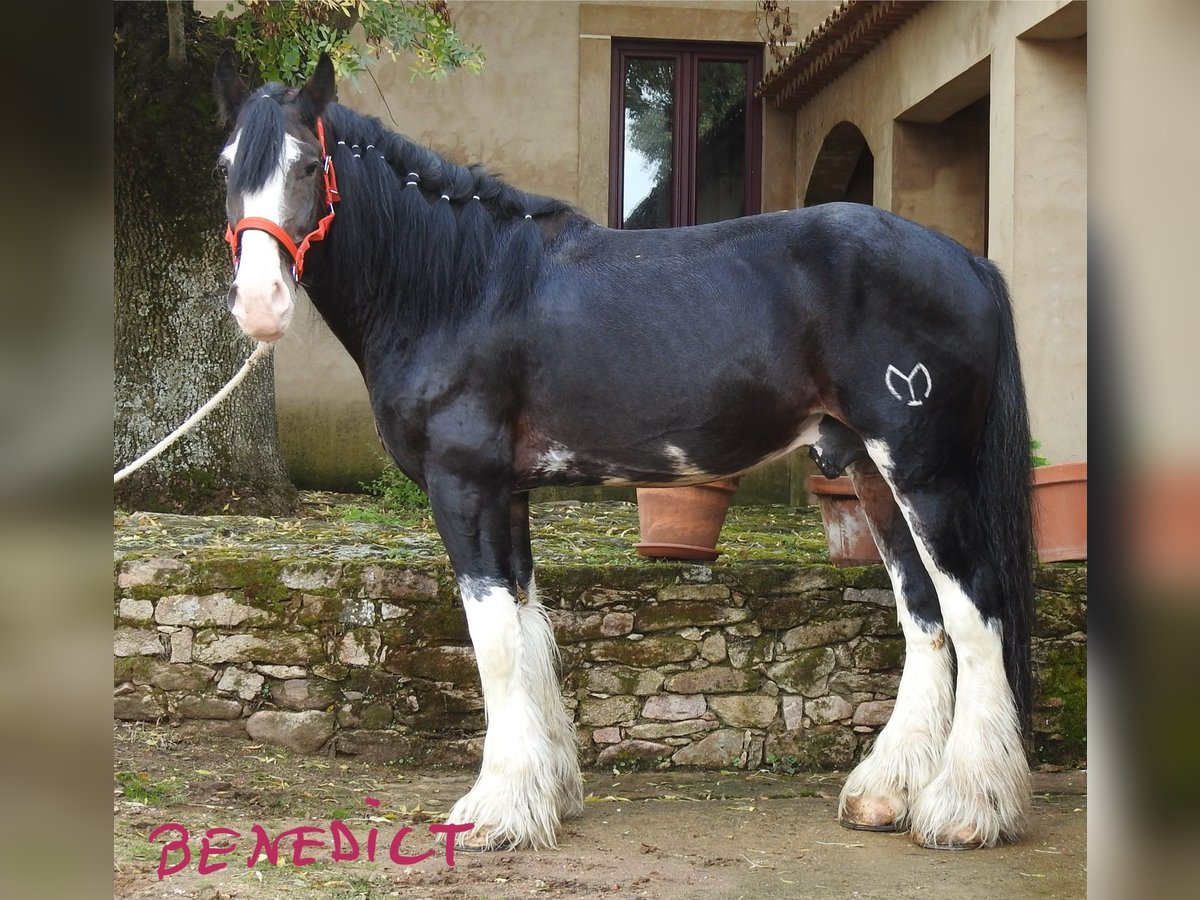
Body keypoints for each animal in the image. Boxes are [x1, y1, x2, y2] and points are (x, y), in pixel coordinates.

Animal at [213, 56, 1032, 854]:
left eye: (308, 164)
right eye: (226, 166)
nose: (258, 304)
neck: (461, 289)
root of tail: (967, 260)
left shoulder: (464, 485)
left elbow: (493, 640)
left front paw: (492, 811)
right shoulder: (508, 492)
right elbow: (527, 626)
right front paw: (546, 795)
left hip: (924, 471)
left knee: (974, 612)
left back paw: (966, 809)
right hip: (870, 473)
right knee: (922, 614)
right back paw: (885, 793)